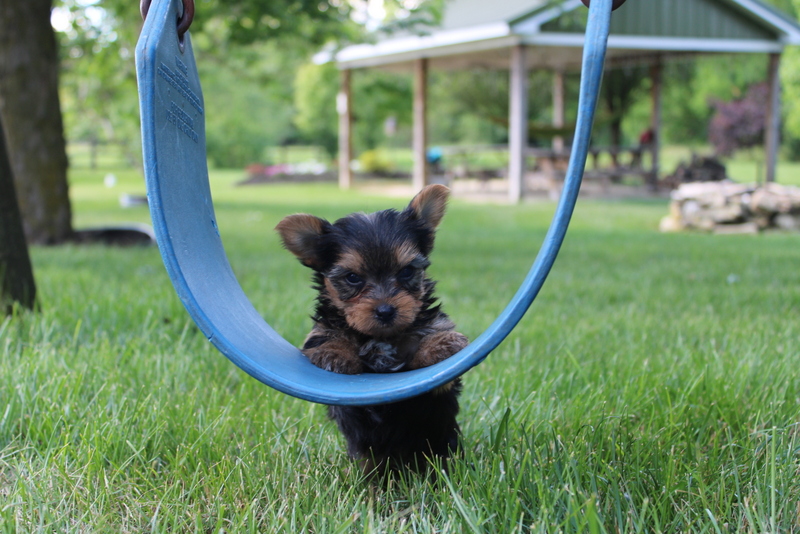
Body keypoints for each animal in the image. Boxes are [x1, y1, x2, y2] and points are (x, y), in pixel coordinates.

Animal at [276, 185, 468, 478]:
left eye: (407, 271)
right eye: (353, 278)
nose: (386, 310)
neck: (381, 337)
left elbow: (436, 361)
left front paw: (441, 344)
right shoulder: (323, 331)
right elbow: (327, 337)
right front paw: (336, 354)